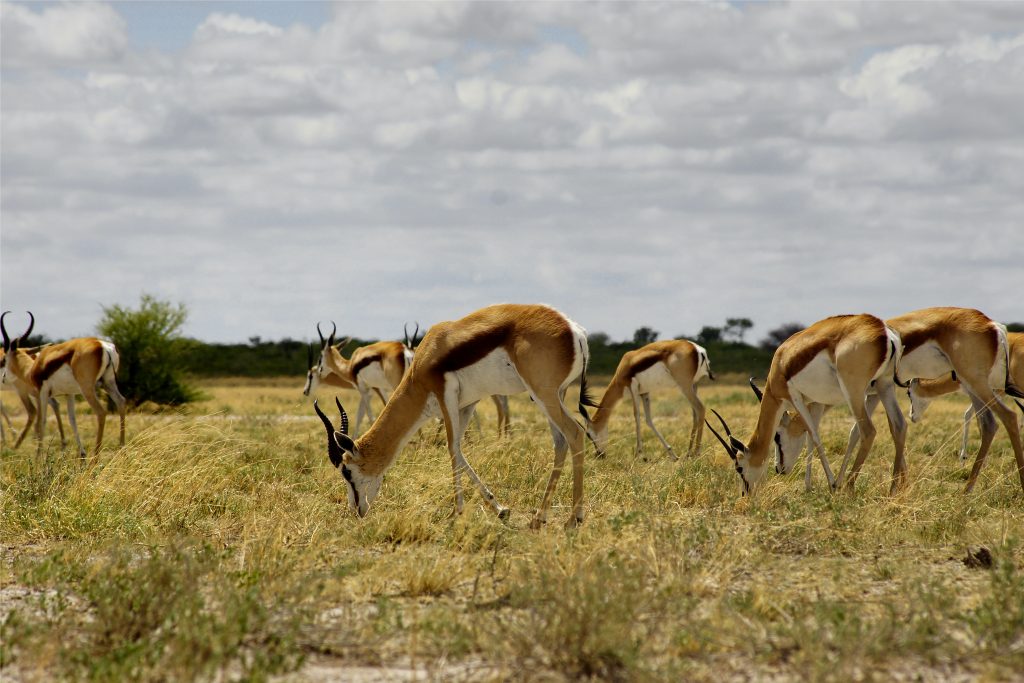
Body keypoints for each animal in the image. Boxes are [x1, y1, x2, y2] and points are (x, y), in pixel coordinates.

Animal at [0, 313, 125, 456]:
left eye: (4, 359)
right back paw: (122, 451)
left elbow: (42, 420)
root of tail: (103, 346)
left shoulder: (42, 392)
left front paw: (38, 458)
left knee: (101, 412)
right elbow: (72, 420)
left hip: (87, 389)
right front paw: (82, 455)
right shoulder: (69, 393)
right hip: (108, 383)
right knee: (121, 402)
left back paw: (95, 458)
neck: (35, 367)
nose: (3, 378)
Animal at [315, 303, 598, 528]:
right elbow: (460, 450)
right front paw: (500, 509)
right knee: (560, 442)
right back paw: (539, 517)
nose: (357, 510)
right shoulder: (467, 403)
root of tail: (575, 331)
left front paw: (457, 512)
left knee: (575, 433)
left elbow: (452, 449)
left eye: (346, 472)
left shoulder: (445, 395)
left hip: (543, 395)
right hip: (554, 395)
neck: (425, 358)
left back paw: (574, 519)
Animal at [708, 315, 909, 497]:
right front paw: (809, 486)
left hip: (854, 392)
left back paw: (849, 488)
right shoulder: (816, 401)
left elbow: (814, 435)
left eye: (739, 468)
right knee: (899, 425)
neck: (782, 364)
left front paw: (832, 484)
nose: (745, 493)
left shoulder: (795, 397)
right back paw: (895, 490)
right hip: (884, 385)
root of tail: (883, 330)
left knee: (868, 431)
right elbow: (811, 436)